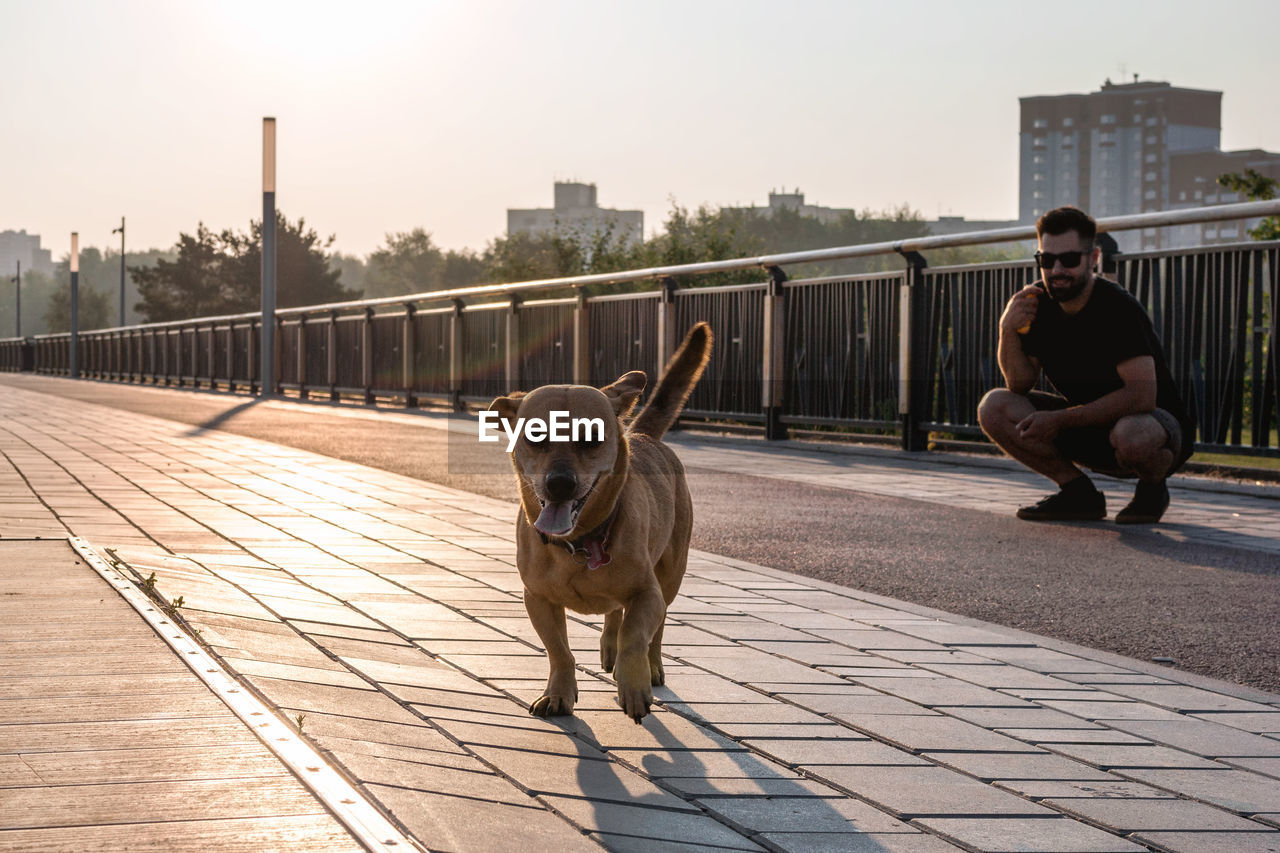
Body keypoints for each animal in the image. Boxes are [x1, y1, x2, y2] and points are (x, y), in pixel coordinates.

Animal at [488, 322, 716, 722]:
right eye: (535, 436)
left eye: (591, 438)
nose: (560, 483)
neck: (581, 542)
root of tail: (642, 434)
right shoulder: (537, 599)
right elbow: (559, 650)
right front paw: (558, 693)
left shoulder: (648, 593)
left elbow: (636, 635)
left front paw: (633, 683)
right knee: (614, 613)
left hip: (671, 571)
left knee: (655, 628)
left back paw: (650, 666)